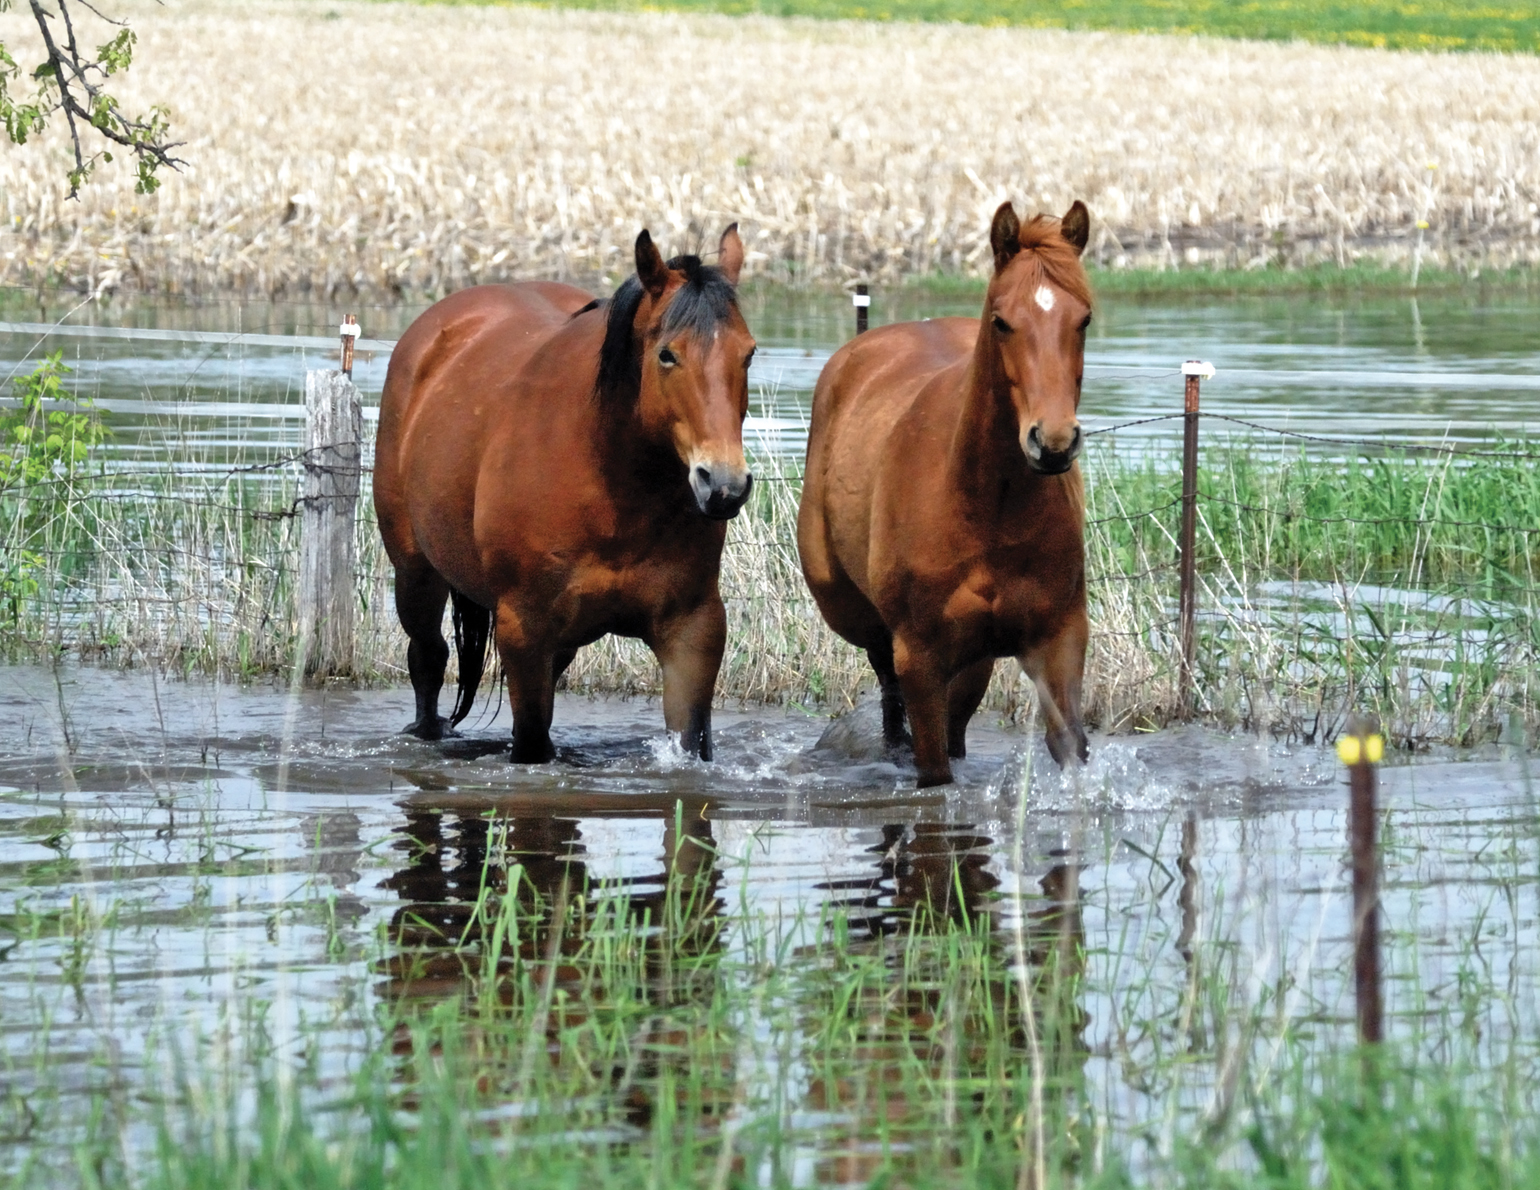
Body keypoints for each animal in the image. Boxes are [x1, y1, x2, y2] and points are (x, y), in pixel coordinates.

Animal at [374, 224, 757, 760]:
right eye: (667, 354)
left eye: (749, 353)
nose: (723, 485)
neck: (616, 491)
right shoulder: (524, 630)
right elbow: (532, 742)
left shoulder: (693, 631)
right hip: (416, 575)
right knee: (428, 660)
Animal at [794, 200, 1096, 785]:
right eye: (1002, 321)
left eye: (1084, 319)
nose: (1052, 442)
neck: (988, 507)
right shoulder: (921, 657)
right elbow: (933, 771)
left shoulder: (1058, 639)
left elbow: (1070, 745)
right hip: (859, 619)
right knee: (887, 687)